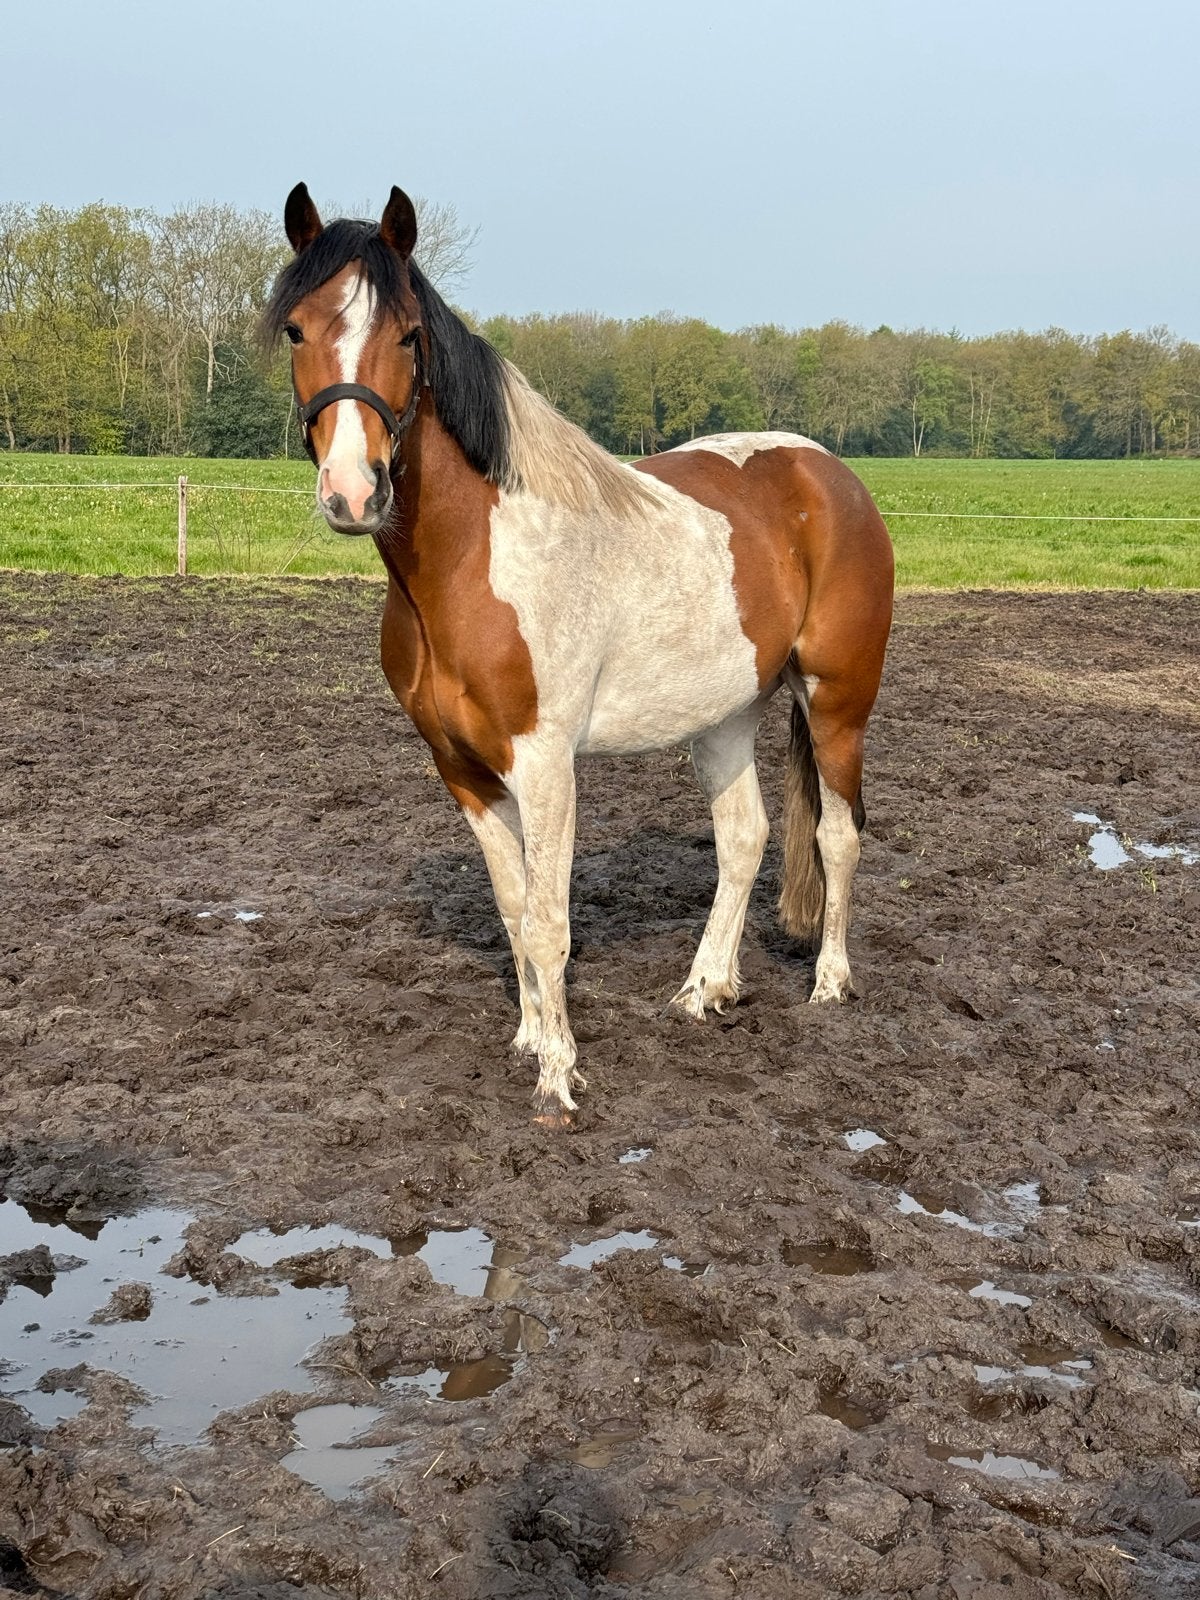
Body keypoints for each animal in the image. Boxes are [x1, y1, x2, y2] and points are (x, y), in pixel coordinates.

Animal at [264, 183, 894, 1124]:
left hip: (837, 704)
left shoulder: (546, 763)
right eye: (298, 330)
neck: (472, 562)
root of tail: (832, 475)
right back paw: (706, 988)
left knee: (840, 836)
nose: (352, 491)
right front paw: (531, 1037)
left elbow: (551, 921)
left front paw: (559, 1077)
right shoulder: (462, 770)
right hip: (723, 717)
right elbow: (515, 909)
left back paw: (829, 983)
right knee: (744, 838)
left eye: (408, 335)